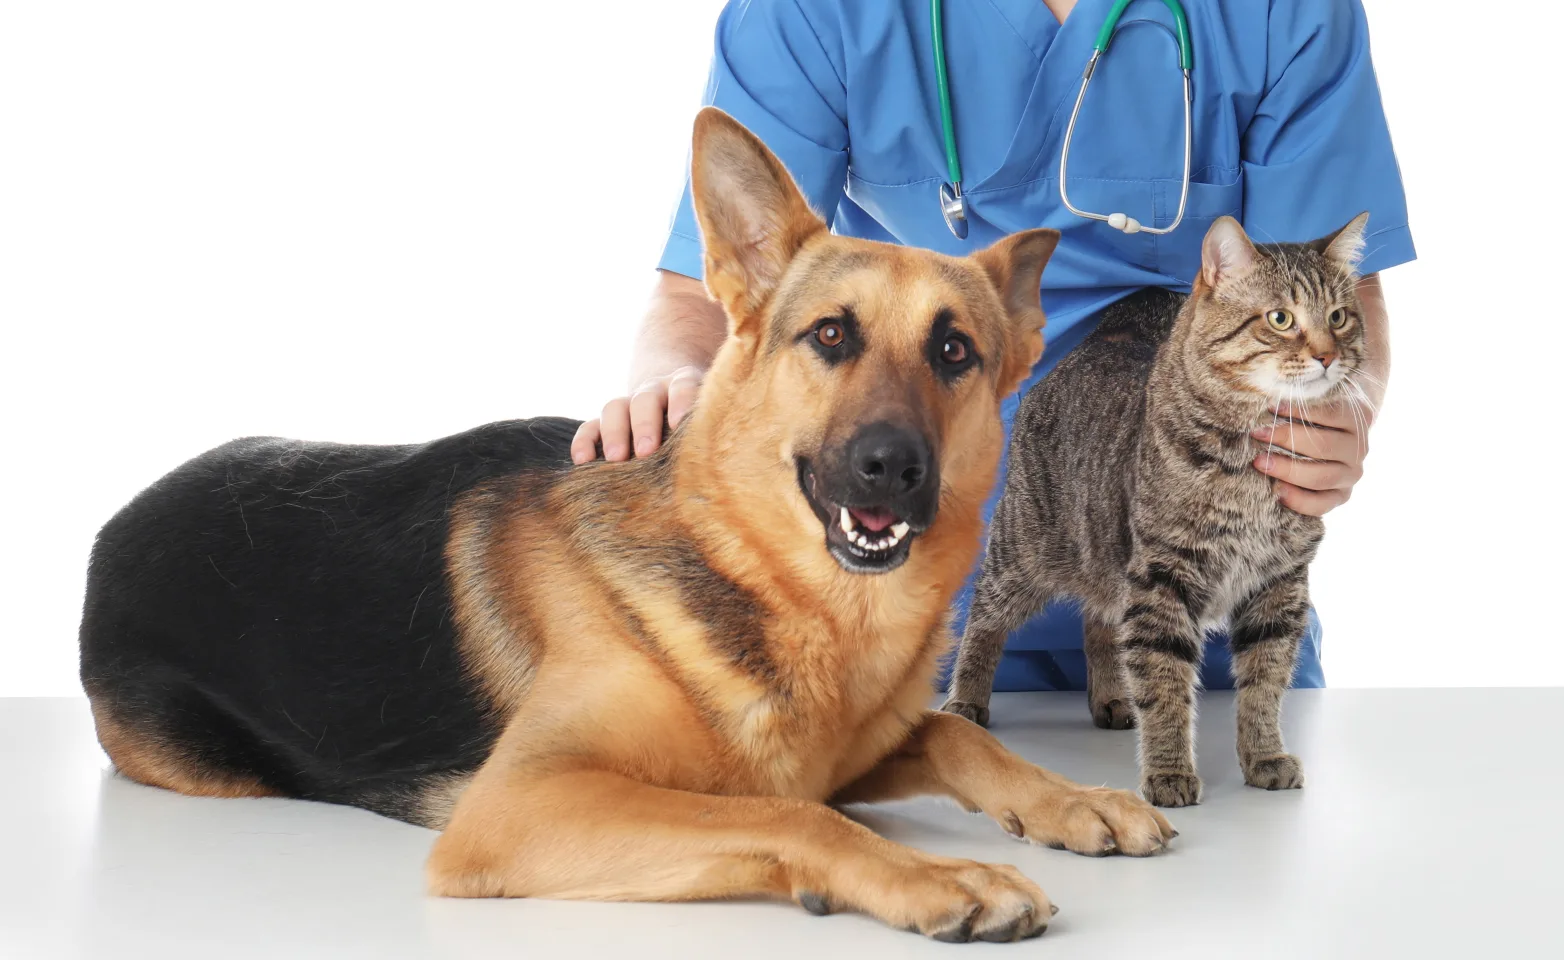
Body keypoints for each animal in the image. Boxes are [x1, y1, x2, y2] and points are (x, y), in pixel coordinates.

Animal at [76, 109, 1176, 944]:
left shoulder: (853, 753)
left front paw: (1073, 799)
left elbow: (949, 731)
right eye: (831, 335)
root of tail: (119, 519)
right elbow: (788, 809)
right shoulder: (520, 805)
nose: (892, 467)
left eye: (953, 351)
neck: (768, 581)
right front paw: (937, 875)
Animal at [938, 214, 1370, 806]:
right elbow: (1164, 683)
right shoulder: (1164, 578)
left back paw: (1110, 697)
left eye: (1339, 317)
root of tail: (1101, 342)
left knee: (1100, 626)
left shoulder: (1279, 585)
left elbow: (1265, 682)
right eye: (1280, 318)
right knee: (983, 616)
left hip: (1107, 561)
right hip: (1022, 552)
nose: (1329, 354)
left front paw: (1263, 756)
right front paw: (1169, 770)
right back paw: (966, 699)